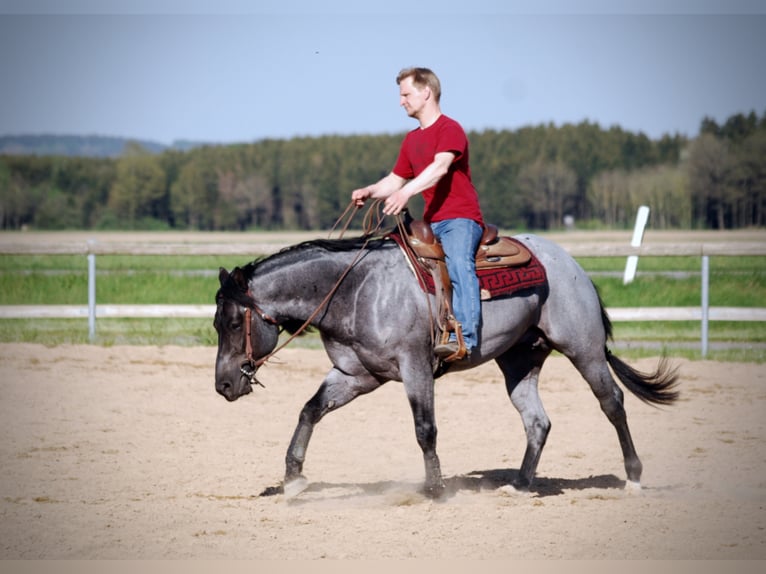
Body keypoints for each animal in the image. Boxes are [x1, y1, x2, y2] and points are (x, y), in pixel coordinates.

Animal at [213, 230, 679, 499]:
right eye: (217, 323)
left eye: (234, 322)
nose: (223, 386)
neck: (355, 290)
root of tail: (570, 264)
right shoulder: (355, 375)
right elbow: (310, 410)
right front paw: (293, 479)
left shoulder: (415, 366)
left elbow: (425, 429)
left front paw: (435, 489)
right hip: (519, 361)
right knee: (537, 422)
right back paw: (520, 485)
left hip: (584, 348)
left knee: (612, 402)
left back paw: (633, 477)